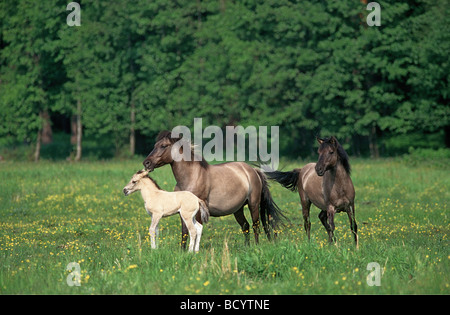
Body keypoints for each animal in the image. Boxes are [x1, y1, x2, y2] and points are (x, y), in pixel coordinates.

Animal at [144, 131, 284, 249]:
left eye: (163, 146)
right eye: (155, 145)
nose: (146, 163)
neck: (191, 177)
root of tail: (253, 170)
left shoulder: (198, 212)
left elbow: (196, 230)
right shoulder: (183, 212)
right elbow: (185, 232)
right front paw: (182, 251)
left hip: (253, 205)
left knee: (255, 225)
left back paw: (256, 246)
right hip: (238, 209)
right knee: (246, 226)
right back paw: (247, 247)